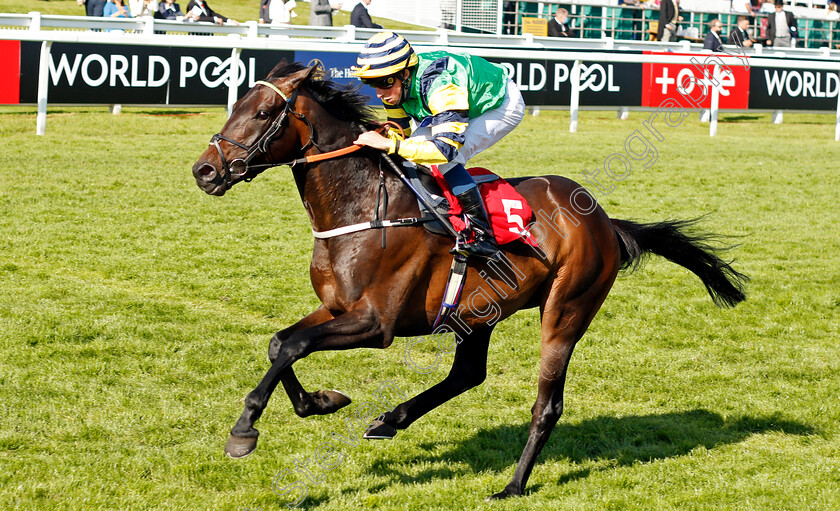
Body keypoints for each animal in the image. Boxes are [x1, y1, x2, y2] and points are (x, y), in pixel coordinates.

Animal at [190, 62, 748, 502]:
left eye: (264, 113)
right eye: (237, 104)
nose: (205, 171)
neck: (362, 208)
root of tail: (605, 221)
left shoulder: (375, 323)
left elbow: (293, 346)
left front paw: (244, 431)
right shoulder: (338, 308)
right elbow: (280, 342)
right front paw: (320, 402)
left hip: (566, 310)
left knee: (547, 404)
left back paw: (513, 485)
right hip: (478, 312)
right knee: (468, 375)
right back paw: (390, 420)